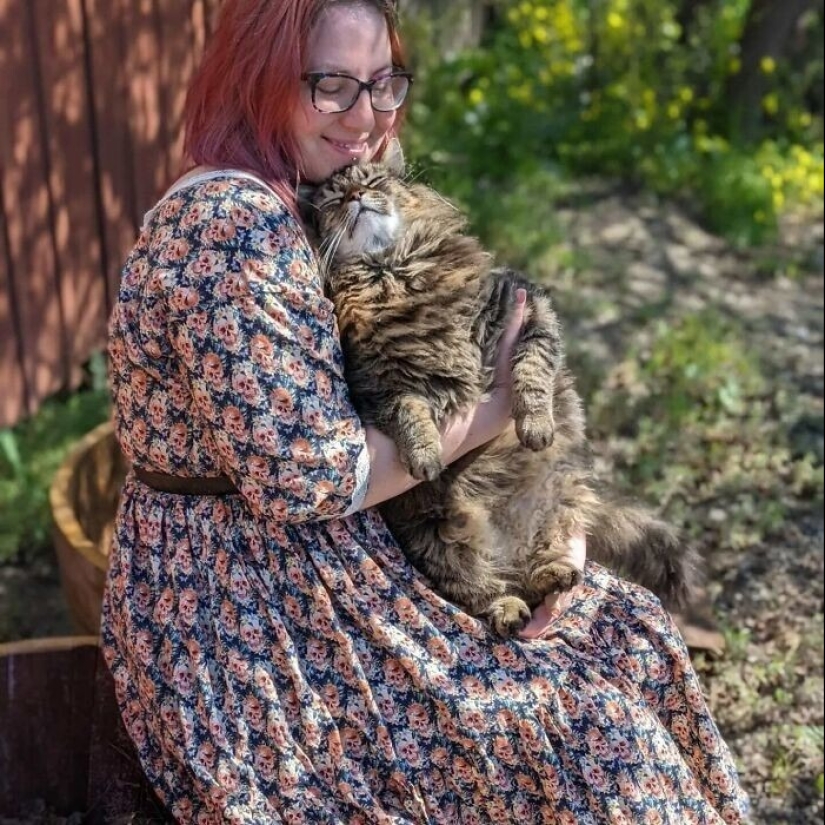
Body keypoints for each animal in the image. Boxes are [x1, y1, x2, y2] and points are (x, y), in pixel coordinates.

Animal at [300, 143, 700, 632]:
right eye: (334, 200)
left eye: (372, 183)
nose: (356, 196)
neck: (392, 271)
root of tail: (509, 542)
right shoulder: (376, 385)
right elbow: (410, 414)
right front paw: (426, 456)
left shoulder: (525, 305)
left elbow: (532, 373)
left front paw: (536, 425)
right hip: (437, 539)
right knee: (485, 589)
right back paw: (510, 608)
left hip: (558, 507)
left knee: (538, 569)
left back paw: (555, 575)